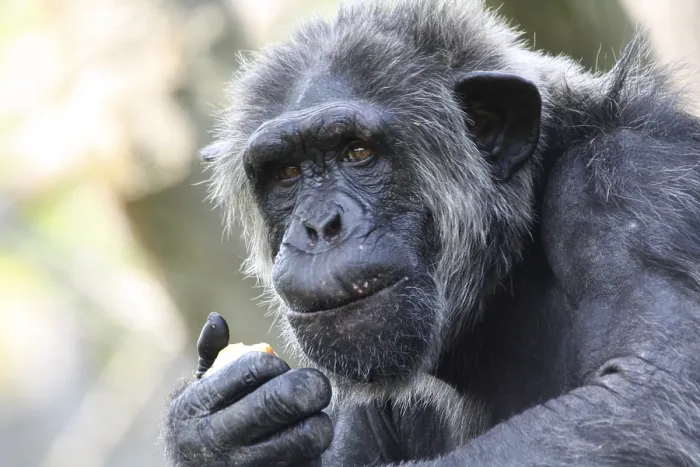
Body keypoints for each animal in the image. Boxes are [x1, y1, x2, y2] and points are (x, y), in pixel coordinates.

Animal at [161, 0, 700, 465]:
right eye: (287, 172)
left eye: (358, 152)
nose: (320, 226)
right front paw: (211, 431)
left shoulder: (631, 185)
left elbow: (645, 396)